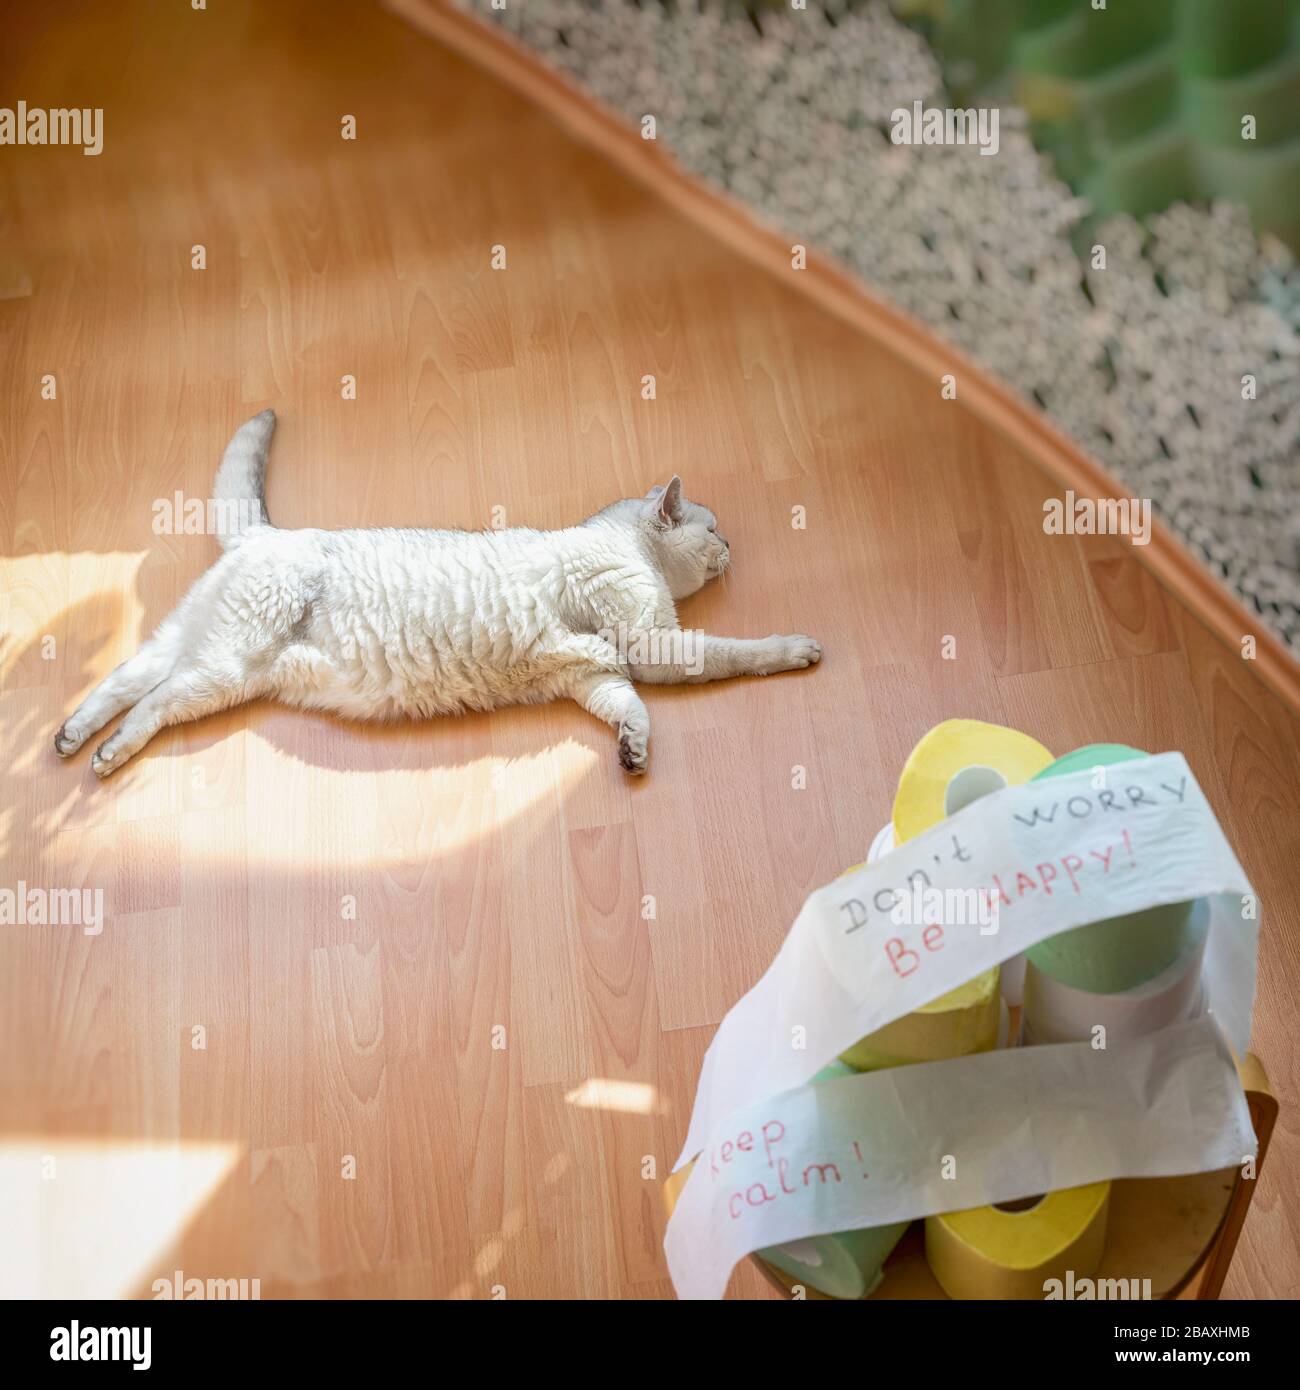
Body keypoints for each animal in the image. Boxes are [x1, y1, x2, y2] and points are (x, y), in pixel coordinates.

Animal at [55, 411, 823, 783]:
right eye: (713, 530)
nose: (732, 546)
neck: (625, 546)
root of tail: (267, 533)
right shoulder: (652, 642)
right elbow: (736, 653)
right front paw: (797, 646)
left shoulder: (597, 675)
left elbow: (629, 710)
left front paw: (634, 751)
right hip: (223, 667)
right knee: (150, 703)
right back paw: (105, 753)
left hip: (204, 653)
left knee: (124, 679)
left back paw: (71, 737)